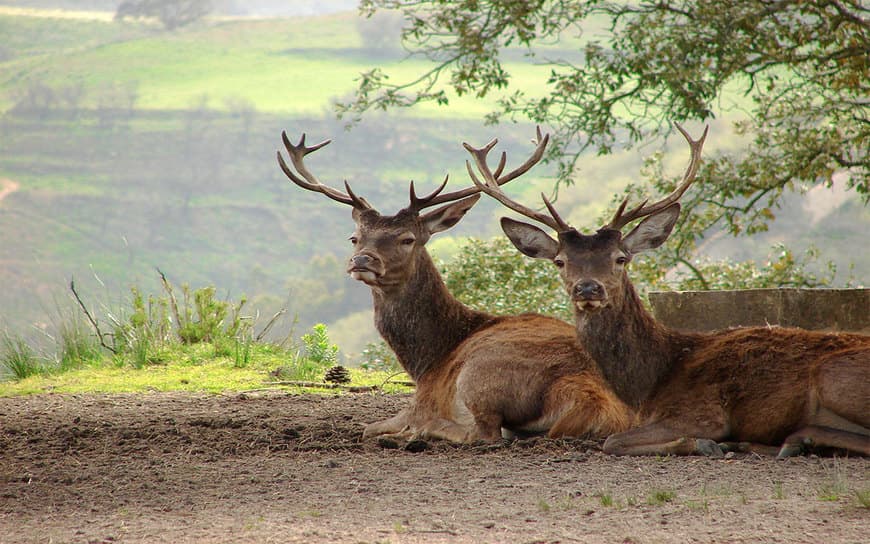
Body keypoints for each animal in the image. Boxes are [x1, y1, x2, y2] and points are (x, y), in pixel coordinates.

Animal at [280, 130, 632, 444]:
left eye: (407, 238)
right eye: (354, 238)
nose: (362, 260)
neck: (427, 360)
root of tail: (592, 399)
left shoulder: (421, 397)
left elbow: (368, 427)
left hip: (478, 377)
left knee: (484, 435)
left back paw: (417, 433)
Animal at [470, 124, 870, 460]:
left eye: (620, 258)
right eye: (560, 261)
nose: (588, 287)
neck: (650, 382)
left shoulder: (703, 412)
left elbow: (612, 441)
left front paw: (704, 444)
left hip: (833, 377)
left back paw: (795, 440)